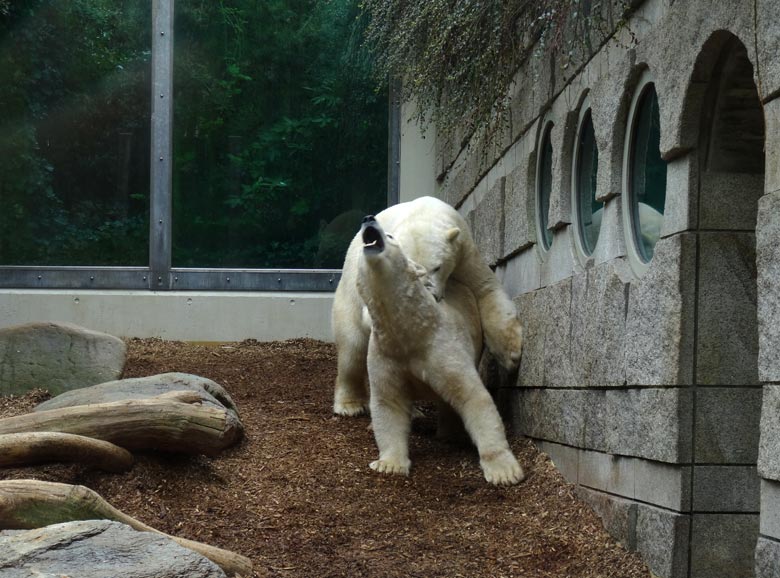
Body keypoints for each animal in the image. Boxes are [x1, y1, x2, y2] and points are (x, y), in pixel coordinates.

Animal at [330, 196, 524, 416]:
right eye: (410, 266)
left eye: (437, 267)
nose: (429, 294)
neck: (422, 212)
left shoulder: (465, 253)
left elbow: (486, 289)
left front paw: (511, 355)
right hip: (348, 293)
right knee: (351, 348)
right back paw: (350, 405)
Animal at [356, 214, 528, 484]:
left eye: (391, 236)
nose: (368, 219)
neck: (413, 329)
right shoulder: (386, 352)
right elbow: (388, 402)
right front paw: (388, 465)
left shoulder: (440, 346)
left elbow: (473, 396)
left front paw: (504, 472)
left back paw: (450, 434)